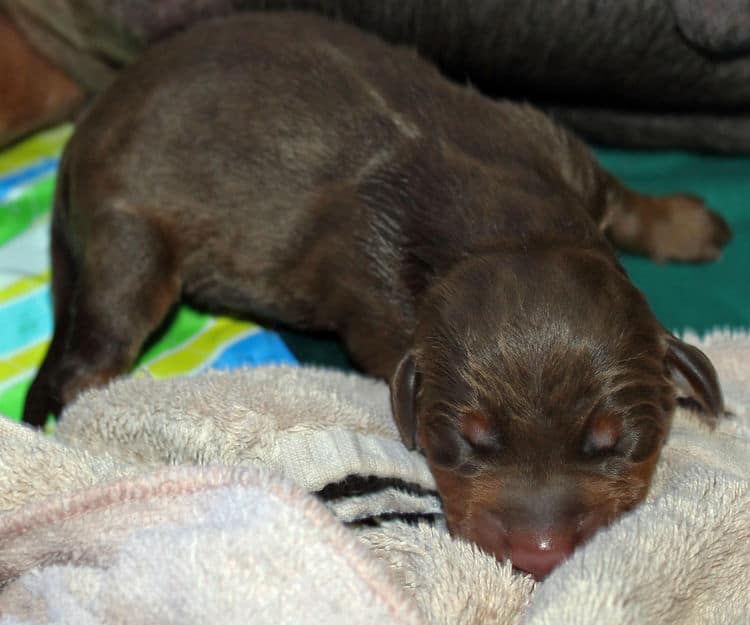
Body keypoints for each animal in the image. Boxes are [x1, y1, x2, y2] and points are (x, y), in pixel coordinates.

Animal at [22, 13, 728, 580]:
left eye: (612, 440)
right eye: (467, 438)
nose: (539, 553)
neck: (511, 230)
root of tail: (75, 145)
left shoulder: (558, 148)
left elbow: (625, 200)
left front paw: (684, 224)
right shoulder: (375, 304)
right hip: (132, 237)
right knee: (90, 358)